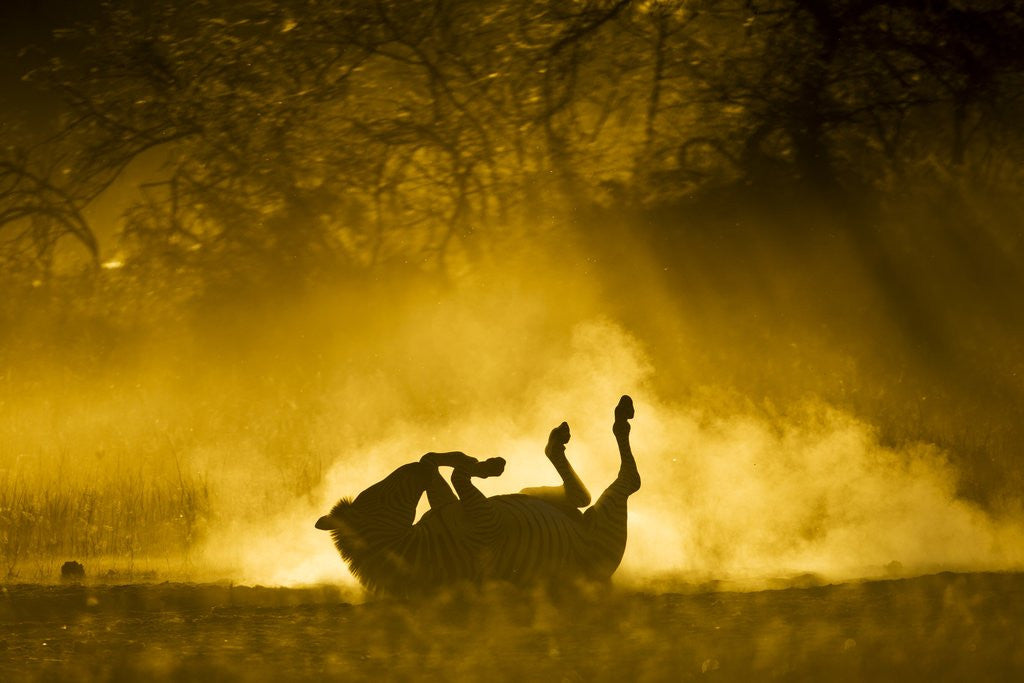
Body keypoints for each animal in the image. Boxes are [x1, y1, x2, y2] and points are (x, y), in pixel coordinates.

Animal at [315, 395, 640, 596]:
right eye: (380, 495)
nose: (411, 467)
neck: (410, 547)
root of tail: (603, 580)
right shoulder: (486, 523)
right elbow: (457, 476)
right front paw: (485, 466)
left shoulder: (448, 505)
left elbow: (439, 467)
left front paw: (461, 459)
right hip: (607, 526)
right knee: (629, 481)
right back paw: (621, 416)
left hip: (540, 497)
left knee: (577, 496)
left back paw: (557, 441)